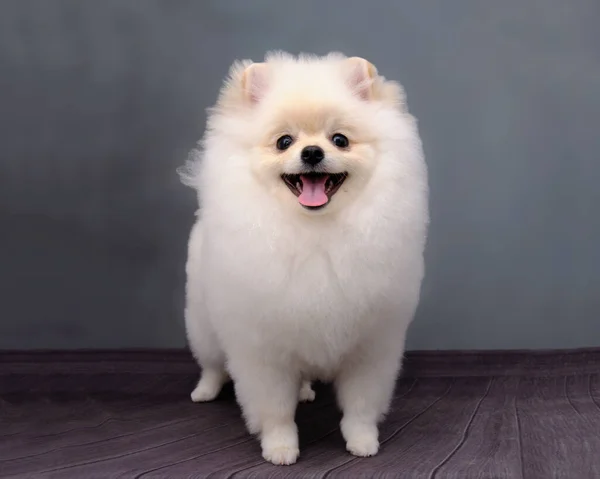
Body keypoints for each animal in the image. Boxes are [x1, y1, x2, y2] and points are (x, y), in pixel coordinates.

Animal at [180, 51, 428, 464]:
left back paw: (306, 390)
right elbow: (276, 410)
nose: (312, 152)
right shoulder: (263, 350)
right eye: (284, 141)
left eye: (340, 139)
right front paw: (280, 447)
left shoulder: (371, 345)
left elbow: (360, 405)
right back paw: (204, 391)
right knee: (212, 362)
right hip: (203, 322)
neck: (314, 232)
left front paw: (363, 442)